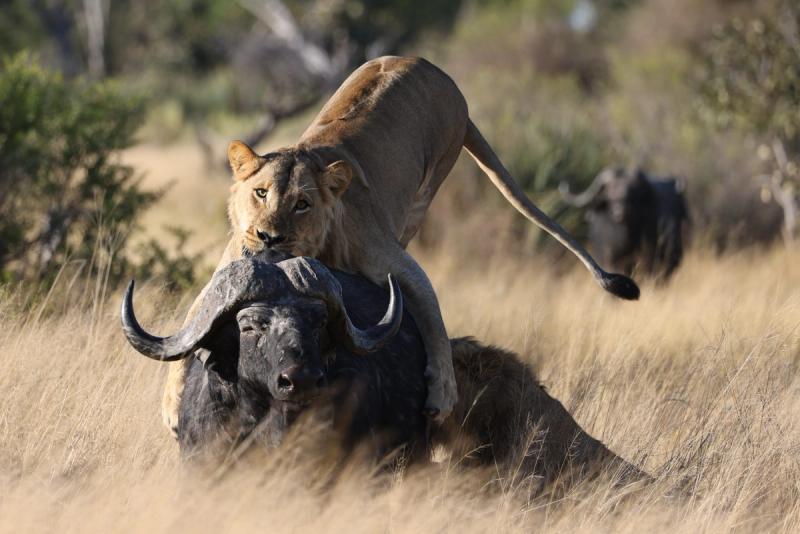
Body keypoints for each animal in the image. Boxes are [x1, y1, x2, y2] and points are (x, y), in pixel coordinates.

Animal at [161, 56, 639, 436]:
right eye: (260, 193)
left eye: (302, 204)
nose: (268, 237)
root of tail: (434, 70)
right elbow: (191, 323)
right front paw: (171, 404)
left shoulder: (398, 265)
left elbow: (433, 323)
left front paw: (441, 394)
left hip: (429, 183)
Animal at [560, 168, 689, 280]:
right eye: (611, 194)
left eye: (631, 193)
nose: (620, 213)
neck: (625, 241)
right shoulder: (609, 261)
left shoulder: (648, 259)